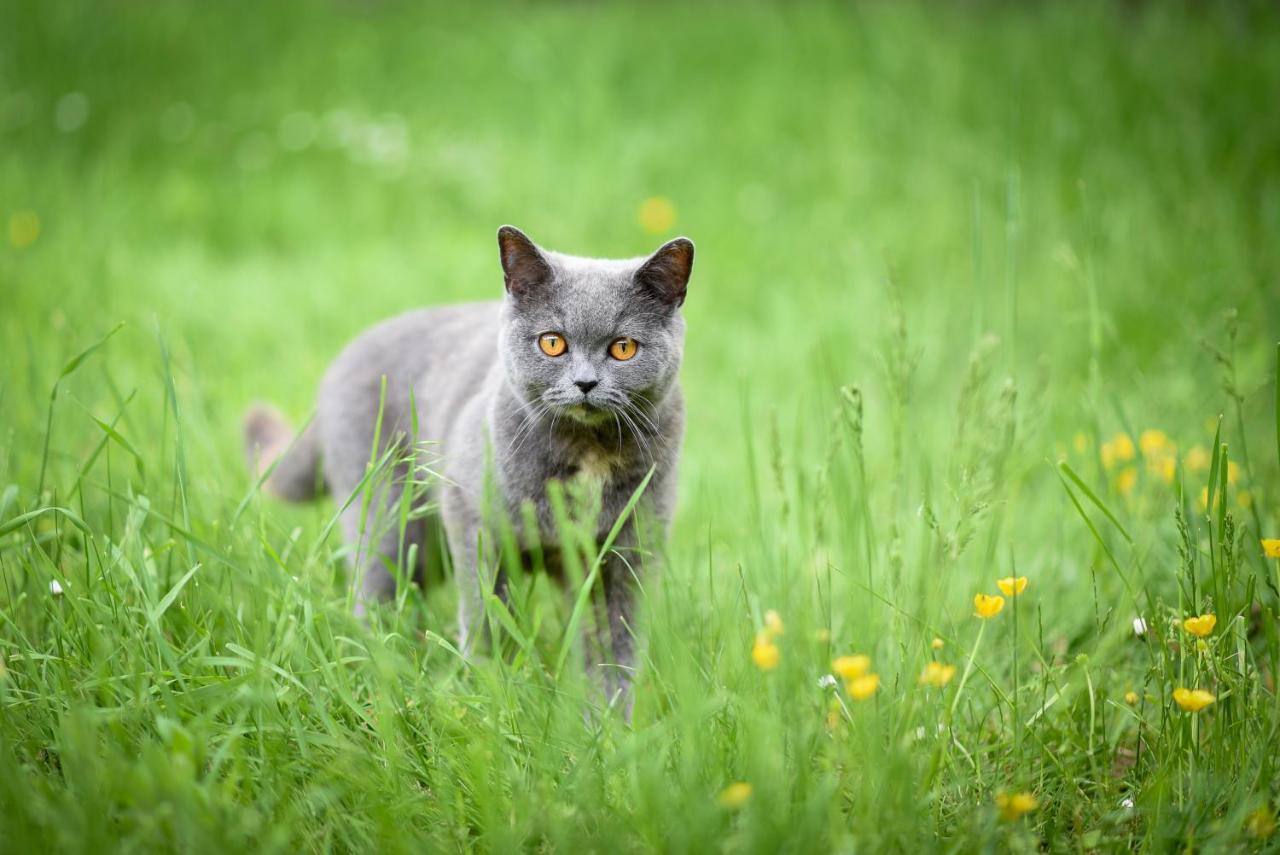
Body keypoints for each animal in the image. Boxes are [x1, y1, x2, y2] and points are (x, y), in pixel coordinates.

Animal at [243, 223, 696, 711]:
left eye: (623, 348)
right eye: (552, 342)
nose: (586, 383)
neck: (586, 452)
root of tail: (344, 357)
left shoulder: (629, 553)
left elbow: (616, 647)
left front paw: (606, 722)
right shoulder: (473, 520)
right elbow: (485, 616)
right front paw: (492, 695)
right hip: (391, 517)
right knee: (374, 592)